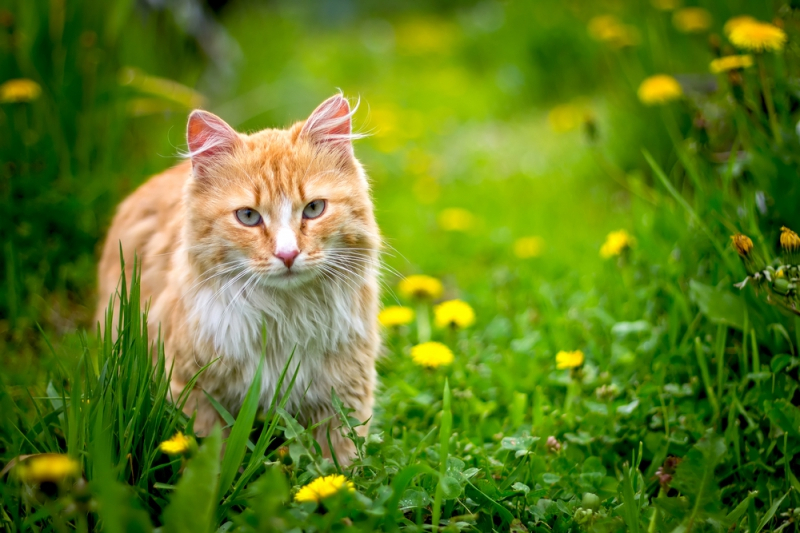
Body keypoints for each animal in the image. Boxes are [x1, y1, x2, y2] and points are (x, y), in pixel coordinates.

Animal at [94, 94, 382, 462]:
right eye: (247, 216)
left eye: (314, 209)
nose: (287, 254)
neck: (282, 318)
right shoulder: (195, 393)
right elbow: (212, 458)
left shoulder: (342, 395)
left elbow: (338, 465)